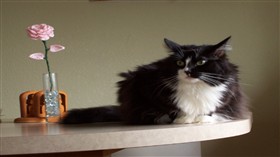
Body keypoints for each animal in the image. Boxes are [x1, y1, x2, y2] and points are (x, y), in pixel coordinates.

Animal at [61, 36, 249, 125]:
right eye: (180, 63)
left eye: (201, 62)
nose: (187, 71)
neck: (194, 89)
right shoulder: (144, 86)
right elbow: (171, 109)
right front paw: (184, 118)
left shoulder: (230, 95)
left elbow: (214, 110)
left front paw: (201, 118)